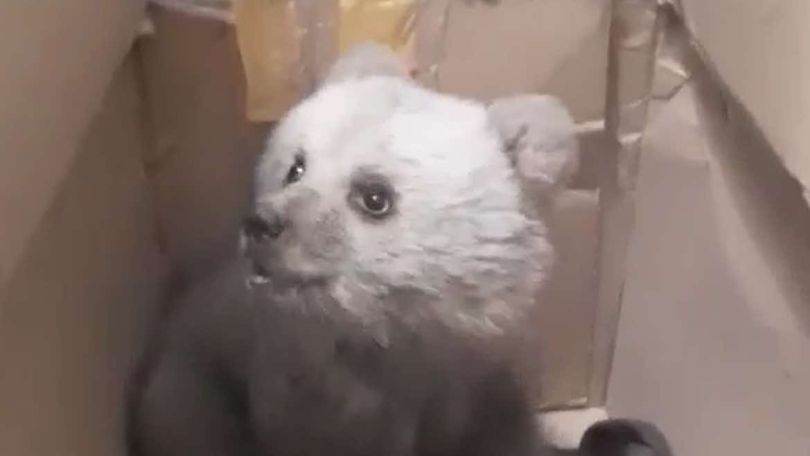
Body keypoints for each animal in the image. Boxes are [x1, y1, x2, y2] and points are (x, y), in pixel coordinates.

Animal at [129, 42, 670, 456]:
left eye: (374, 196)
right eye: (296, 166)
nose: (263, 225)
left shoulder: (482, 382)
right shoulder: (303, 393)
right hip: (189, 382)